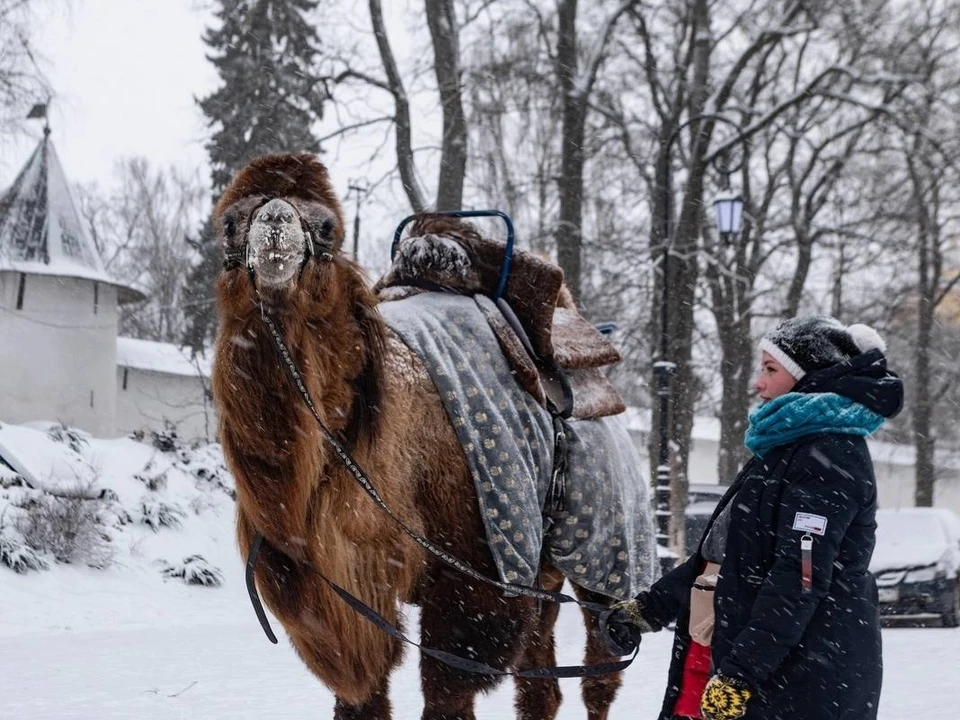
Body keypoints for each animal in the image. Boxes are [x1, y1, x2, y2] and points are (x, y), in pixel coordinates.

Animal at [210, 155, 644, 720]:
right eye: (229, 224)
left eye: (328, 227)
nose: (275, 223)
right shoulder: (353, 594)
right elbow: (361, 695)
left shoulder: (478, 575)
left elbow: (447, 689)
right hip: (545, 573)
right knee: (542, 684)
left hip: (608, 546)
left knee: (601, 662)